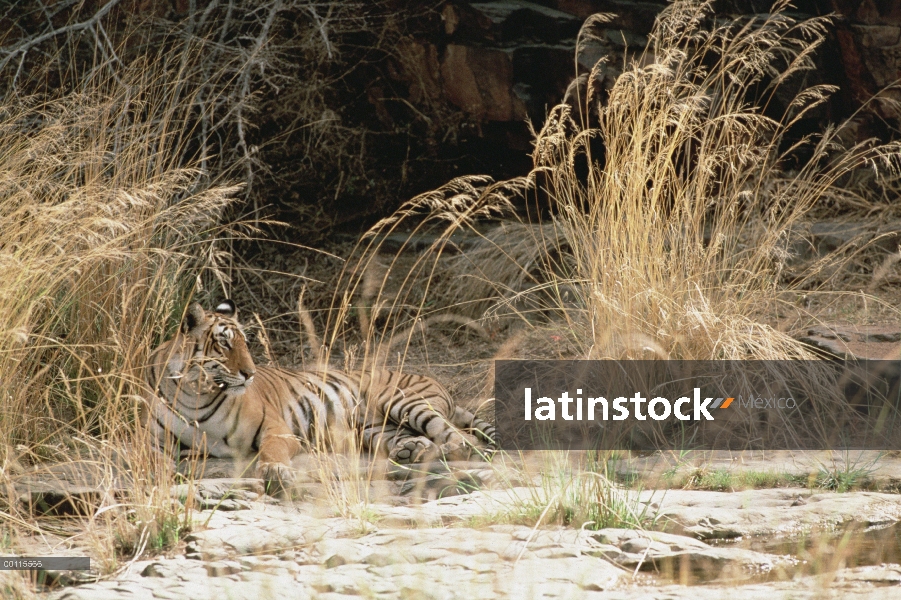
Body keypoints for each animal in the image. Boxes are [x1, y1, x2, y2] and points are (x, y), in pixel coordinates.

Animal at [143, 300, 496, 488]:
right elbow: (151, 459)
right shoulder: (152, 440)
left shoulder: (277, 430)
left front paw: (275, 472)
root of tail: (442, 387)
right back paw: (411, 451)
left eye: (245, 343)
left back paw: (442, 452)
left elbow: (272, 451)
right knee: (412, 438)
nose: (250, 373)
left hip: (402, 401)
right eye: (224, 344)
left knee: (463, 440)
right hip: (372, 428)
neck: (195, 392)